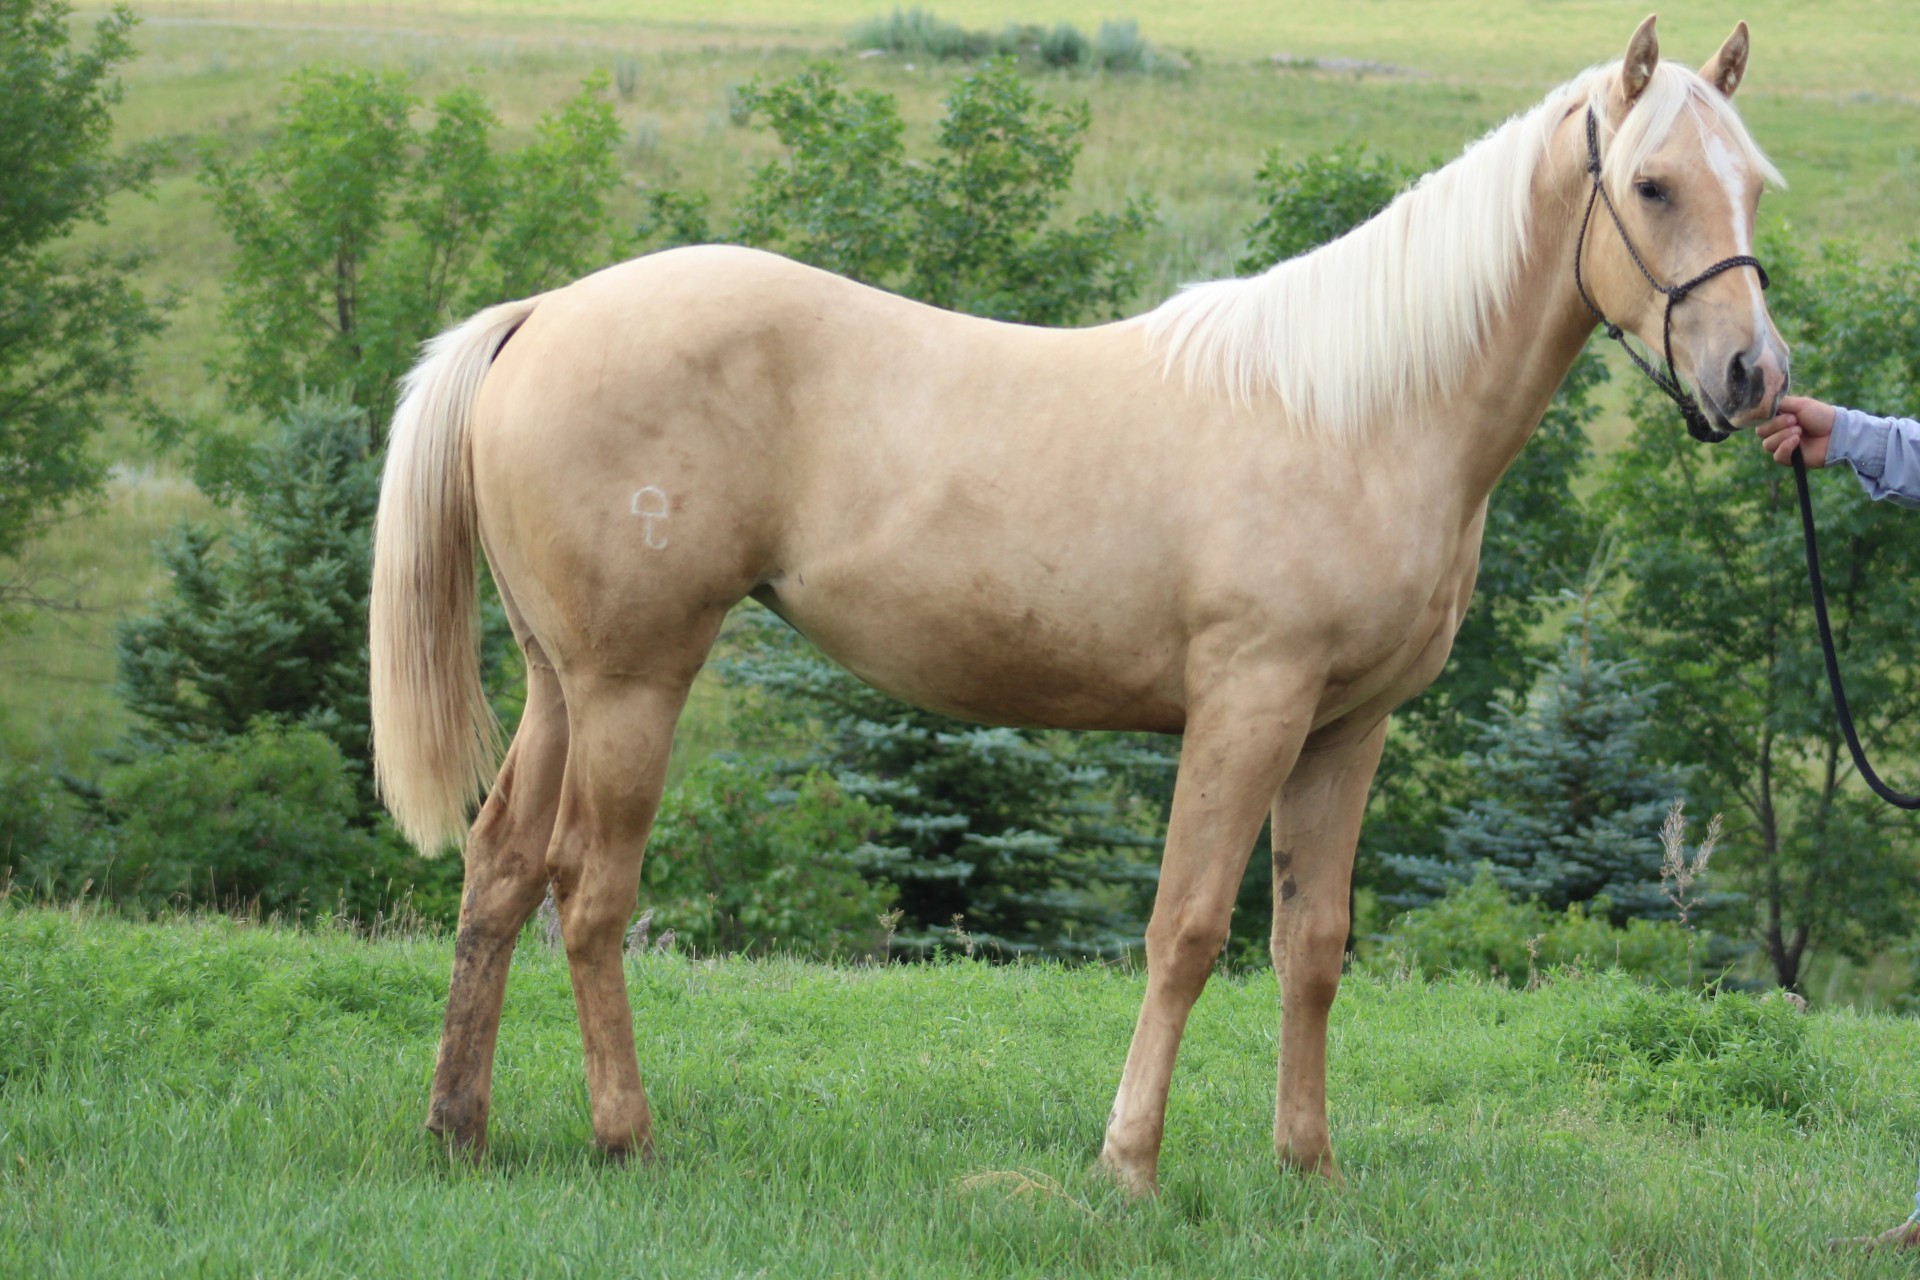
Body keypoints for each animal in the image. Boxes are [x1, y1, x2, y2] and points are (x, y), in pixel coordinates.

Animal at [370, 14, 1781, 1197]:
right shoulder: (1248, 708)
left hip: (562, 681)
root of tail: (544, 310)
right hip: (635, 682)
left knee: (502, 866)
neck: (1358, 416)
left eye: (1755, 183)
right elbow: (1188, 932)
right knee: (589, 889)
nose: (1753, 374)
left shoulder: (1345, 729)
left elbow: (1312, 944)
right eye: (1654, 185)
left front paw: (1308, 1168)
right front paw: (1129, 1165)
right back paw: (627, 1136)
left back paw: (456, 1126)